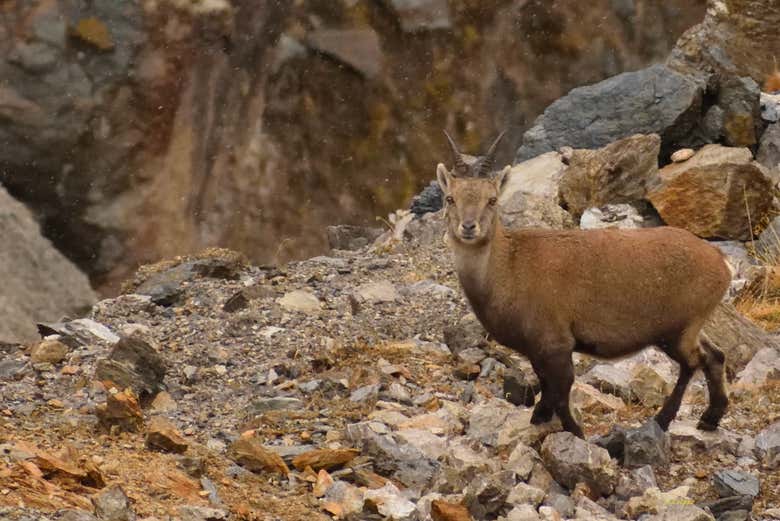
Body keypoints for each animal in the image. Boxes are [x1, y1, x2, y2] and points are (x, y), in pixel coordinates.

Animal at [436, 131, 731, 437]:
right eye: (450, 198)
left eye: (492, 200)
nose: (468, 227)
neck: (507, 267)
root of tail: (721, 262)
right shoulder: (537, 349)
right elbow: (547, 385)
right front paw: (541, 417)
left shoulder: (555, 341)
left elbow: (561, 387)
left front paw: (573, 430)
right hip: (690, 327)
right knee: (715, 355)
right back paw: (710, 417)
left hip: (677, 329)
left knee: (694, 362)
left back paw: (663, 419)